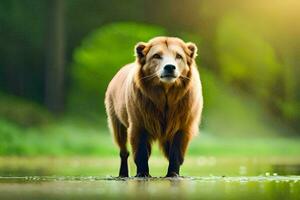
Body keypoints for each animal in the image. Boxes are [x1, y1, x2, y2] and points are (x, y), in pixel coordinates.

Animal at [104, 36, 203, 177]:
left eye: (179, 56)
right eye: (156, 55)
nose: (169, 67)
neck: (165, 95)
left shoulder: (183, 118)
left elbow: (176, 149)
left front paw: (173, 173)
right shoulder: (140, 117)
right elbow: (141, 150)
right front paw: (143, 173)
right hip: (116, 115)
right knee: (122, 145)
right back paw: (123, 173)